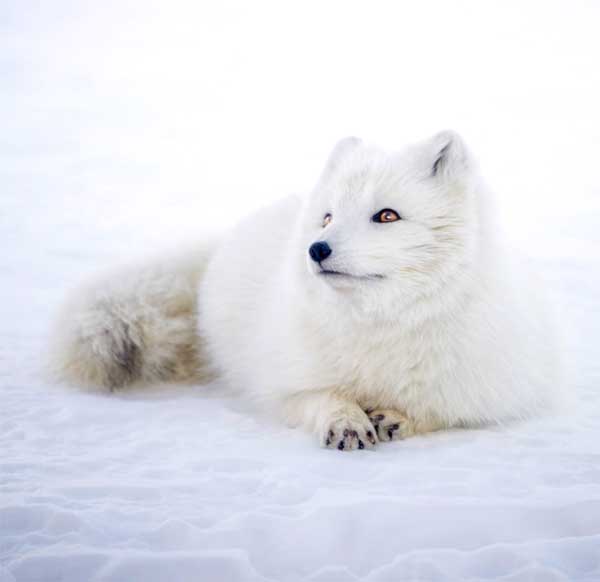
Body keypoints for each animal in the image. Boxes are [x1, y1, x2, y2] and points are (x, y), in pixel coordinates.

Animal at [51, 132, 564, 452]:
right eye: (328, 218)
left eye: (387, 216)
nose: (316, 250)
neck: (382, 326)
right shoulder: (282, 384)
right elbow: (320, 397)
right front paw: (346, 421)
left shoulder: (491, 391)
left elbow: (441, 410)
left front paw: (397, 417)